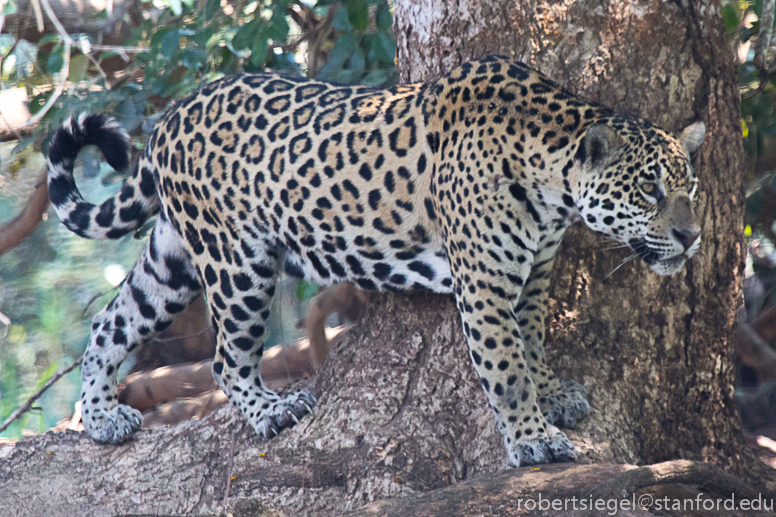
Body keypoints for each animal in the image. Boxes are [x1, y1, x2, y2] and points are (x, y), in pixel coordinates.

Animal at [46, 55, 705, 467]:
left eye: (689, 187)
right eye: (649, 190)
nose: (692, 236)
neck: (553, 186)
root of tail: (170, 117)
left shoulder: (535, 275)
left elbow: (534, 343)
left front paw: (552, 396)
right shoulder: (485, 284)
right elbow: (507, 366)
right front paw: (533, 441)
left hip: (173, 259)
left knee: (110, 324)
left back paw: (101, 419)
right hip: (238, 262)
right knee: (226, 359)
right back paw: (272, 411)